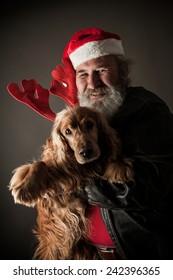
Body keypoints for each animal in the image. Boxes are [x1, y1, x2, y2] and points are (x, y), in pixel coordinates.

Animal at [8, 105, 134, 260]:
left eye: (90, 124)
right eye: (67, 131)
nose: (85, 152)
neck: (83, 168)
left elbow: (110, 159)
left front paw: (119, 168)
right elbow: (40, 163)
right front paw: (25, 189)